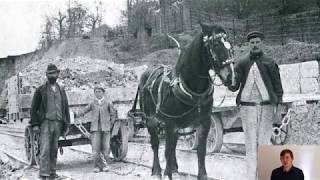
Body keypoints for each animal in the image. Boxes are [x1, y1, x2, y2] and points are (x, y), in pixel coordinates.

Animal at [129, 22, 235, 180]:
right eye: (215, 44)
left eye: (229, 44)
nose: (231, 78)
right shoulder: (169, 123)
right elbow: (166, 150)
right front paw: (166, 174)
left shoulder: (204, 122)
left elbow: (201, 151)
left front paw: (201, 175)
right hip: (150, 120)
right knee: (155, 144)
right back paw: (157, 170)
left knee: (173, 145)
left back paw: (173, 168)